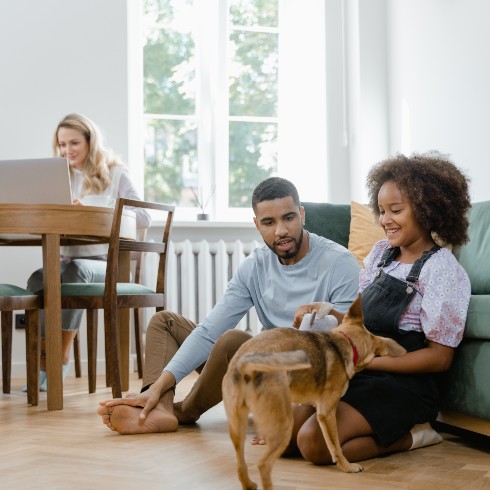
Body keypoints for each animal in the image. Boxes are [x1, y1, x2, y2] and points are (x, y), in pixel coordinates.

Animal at [222, 294, 406, 490]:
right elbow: (335, 446)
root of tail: (246, 364)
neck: (345, 341)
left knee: (241, 466)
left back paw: (249, 483)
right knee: (263, 465)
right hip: (283, 425)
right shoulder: (327, 413)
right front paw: (347, 467)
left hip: (238, 426)